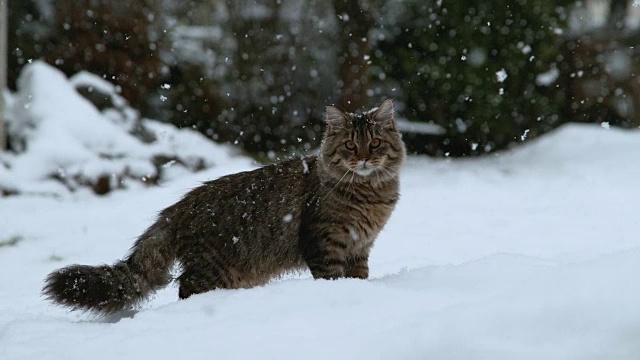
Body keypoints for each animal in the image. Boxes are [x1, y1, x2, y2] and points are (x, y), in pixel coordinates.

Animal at [43, 99, 404, 316]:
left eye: (374, 143)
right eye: (350, 145)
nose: (363, 158)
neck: (369, 195)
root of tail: (179, 206)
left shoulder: (361, 246)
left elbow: (359, 277)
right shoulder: (323, 241)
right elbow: (331, 277)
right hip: (213, 269)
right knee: (186, 288)